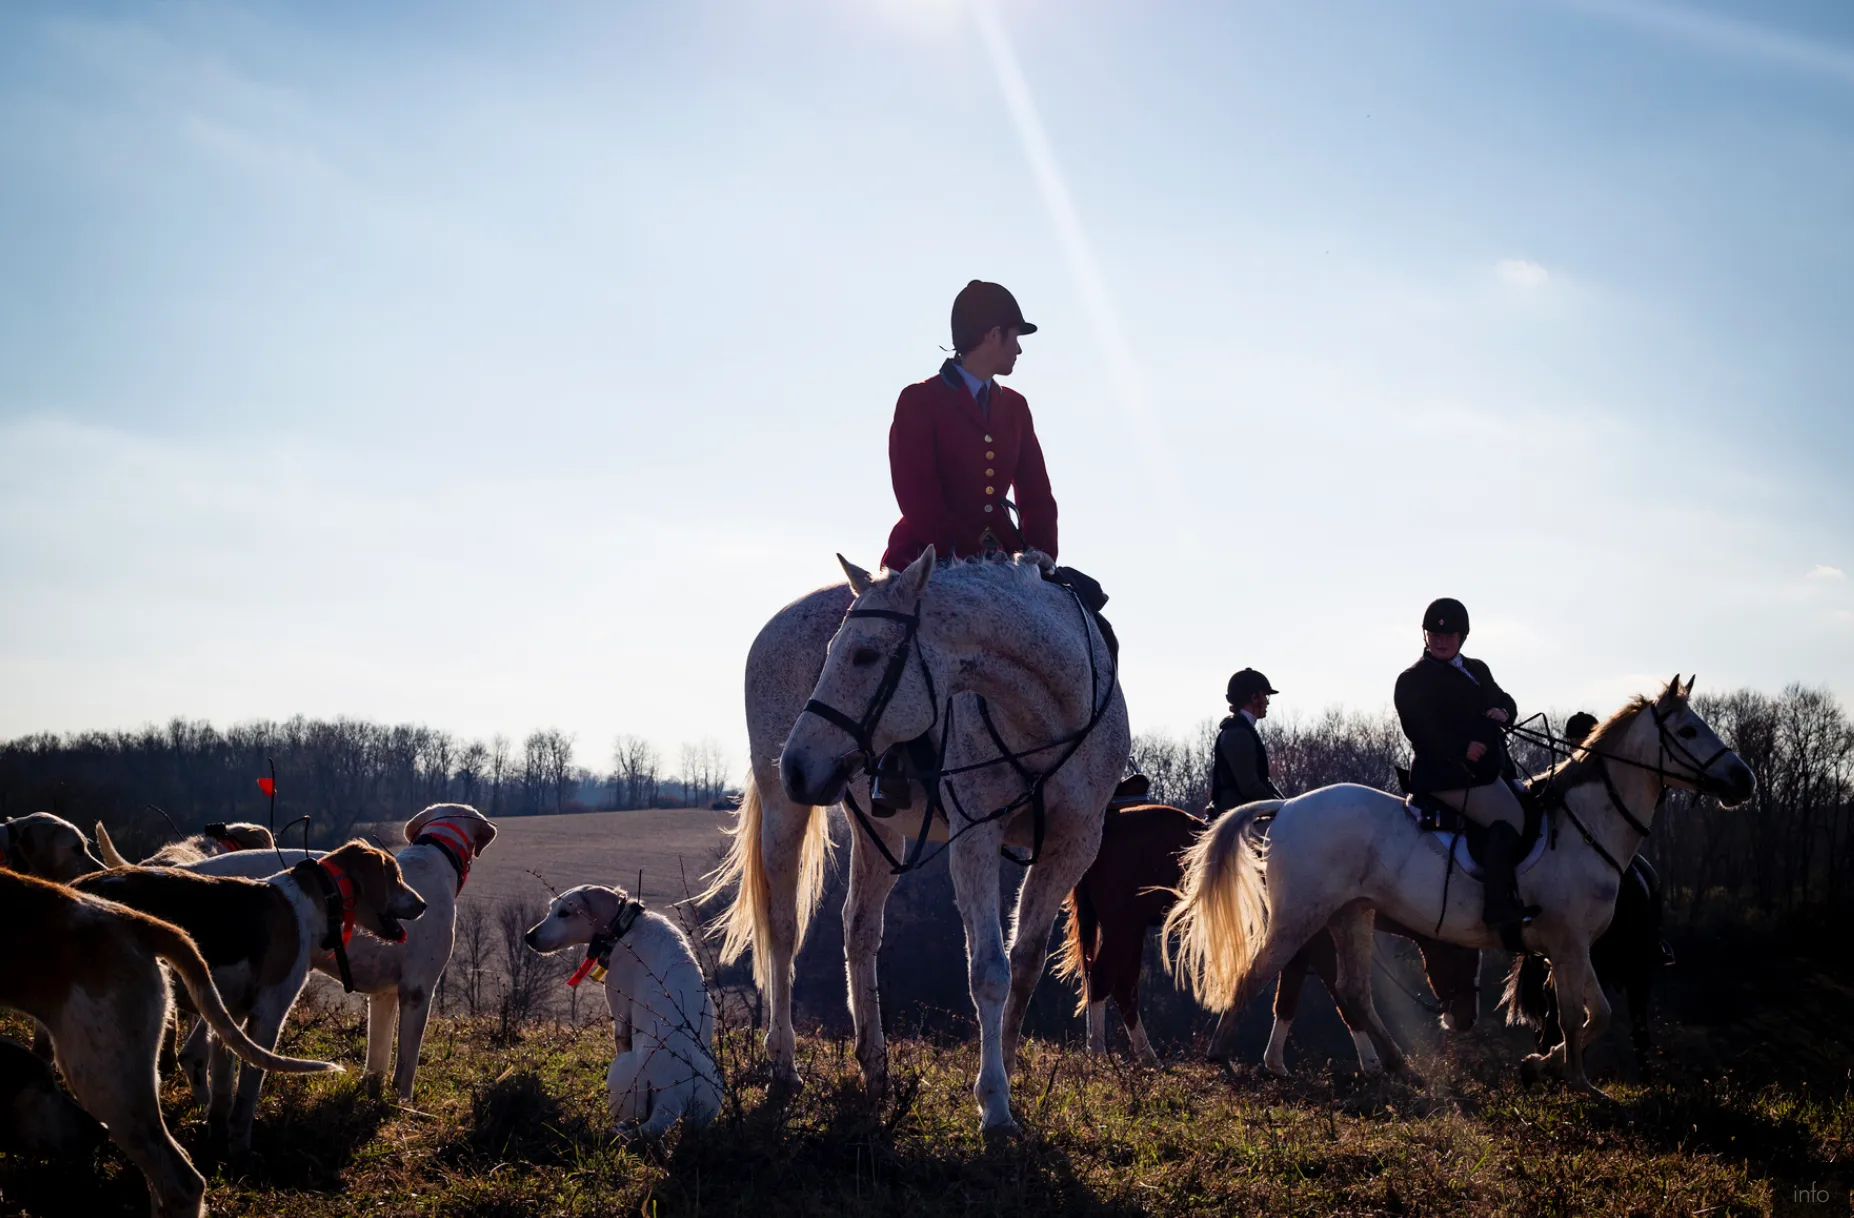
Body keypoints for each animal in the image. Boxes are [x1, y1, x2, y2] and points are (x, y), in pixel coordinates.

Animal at [700, 545, 1127, 1134]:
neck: (1050, 715)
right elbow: (988, 971)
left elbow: (1024, 965)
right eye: (833, 652)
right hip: (787, 812)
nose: (795, 765)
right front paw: (993, 1102)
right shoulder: (975, 839)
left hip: (875, 826)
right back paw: (783, 1064)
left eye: (864, 655)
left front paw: (1007, 1077)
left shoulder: (1073, 846)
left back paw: (874, 1066)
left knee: (859, 928)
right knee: (783, 930)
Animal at [1164, 674, 1757, 1090]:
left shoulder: (1575, 947)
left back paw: (1401, 1066)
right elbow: (1579, 1016)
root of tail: (1286, 806)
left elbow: (1591, 1015)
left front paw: (1545, 1067)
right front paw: (1573, 1080)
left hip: (1352, 914)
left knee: (1353, 991)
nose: (1744, 780)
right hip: (1300, 917)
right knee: (1259, 972)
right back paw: (1221, 1055)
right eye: (1688, 730)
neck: (1587, 826)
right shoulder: (1567, 943)